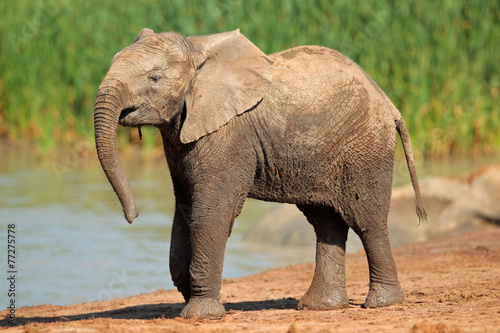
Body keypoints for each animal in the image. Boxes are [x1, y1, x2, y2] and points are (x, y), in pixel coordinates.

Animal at [94, 28, 426, 320]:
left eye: (154, 78)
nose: (133, 216)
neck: (197, 51)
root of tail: (388, 103)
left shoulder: (228, 135)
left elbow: (211, 212)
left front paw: (200, 315)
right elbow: (185, 208)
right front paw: (191, 300)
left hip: (365, 145)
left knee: (366, 219)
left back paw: (381, 303)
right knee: (326, 221)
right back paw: (320, 307)